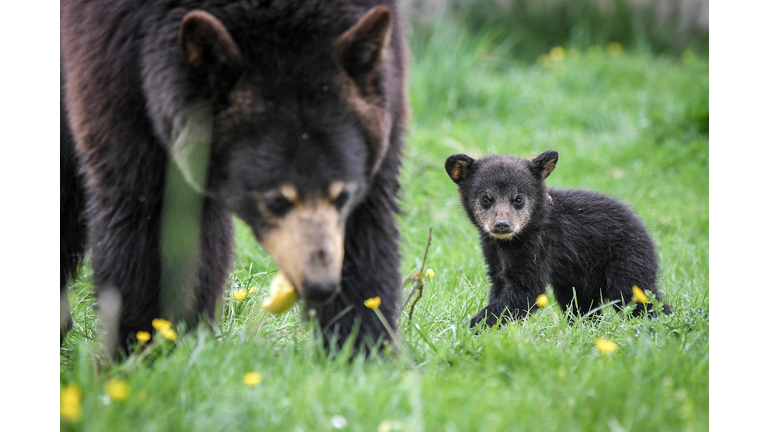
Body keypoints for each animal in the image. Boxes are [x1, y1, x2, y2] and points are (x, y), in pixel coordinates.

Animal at [60, 0, 407, 356]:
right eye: (276, 200)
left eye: (342, 195)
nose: (320, 285)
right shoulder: (117, 59)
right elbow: (144, 207)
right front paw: (143, 343)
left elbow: (369, 221)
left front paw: (361, 343)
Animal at [444, 151, 671, 328]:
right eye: (485, 199)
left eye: (518, 199)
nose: (502, 224)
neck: (509, 243)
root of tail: (645, 231)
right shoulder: (493, 254)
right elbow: (499, 285)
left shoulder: (537, 247)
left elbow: (526, 291)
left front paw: (469, 328)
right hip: (579, 279)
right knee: (582, 305)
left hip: (627, 259)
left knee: (637, 296)